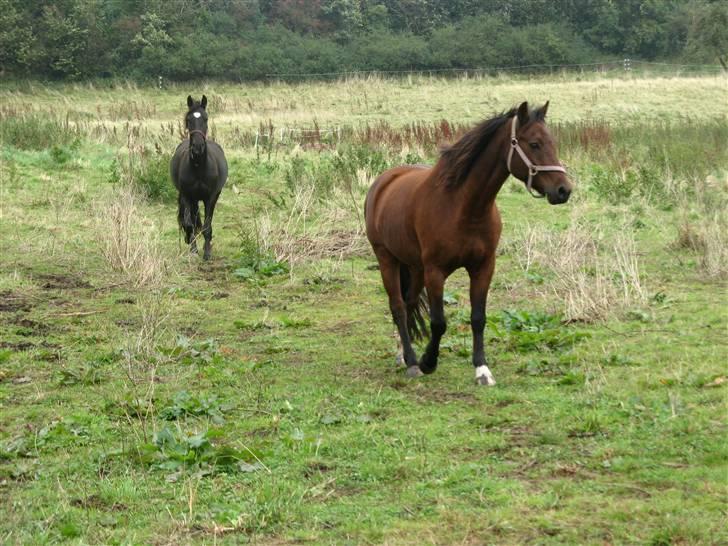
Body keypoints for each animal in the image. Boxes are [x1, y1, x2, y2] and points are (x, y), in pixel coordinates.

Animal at [171, 94, 228, 258]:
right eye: (188, 119)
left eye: (206, 118)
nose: (197, 148)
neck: (198, 167)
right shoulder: (187, 196)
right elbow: (189, 224)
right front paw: (193, 250)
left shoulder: (210, 197)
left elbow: (207, 226)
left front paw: (207, 253)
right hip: (194, 199)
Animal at [366, 101, 572, 382]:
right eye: (534, 144)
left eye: (552, 142)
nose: (564, 190)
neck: (464, 207)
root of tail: (384, 181)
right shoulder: (435, 272)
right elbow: (438, 322)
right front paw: (428, 362)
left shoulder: (483, 267)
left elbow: (478, 318)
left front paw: (482, 369)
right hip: (387, 259)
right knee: (397, 307)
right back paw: (411, 361)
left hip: (415, 267)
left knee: (408, 305)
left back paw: (403, 355)